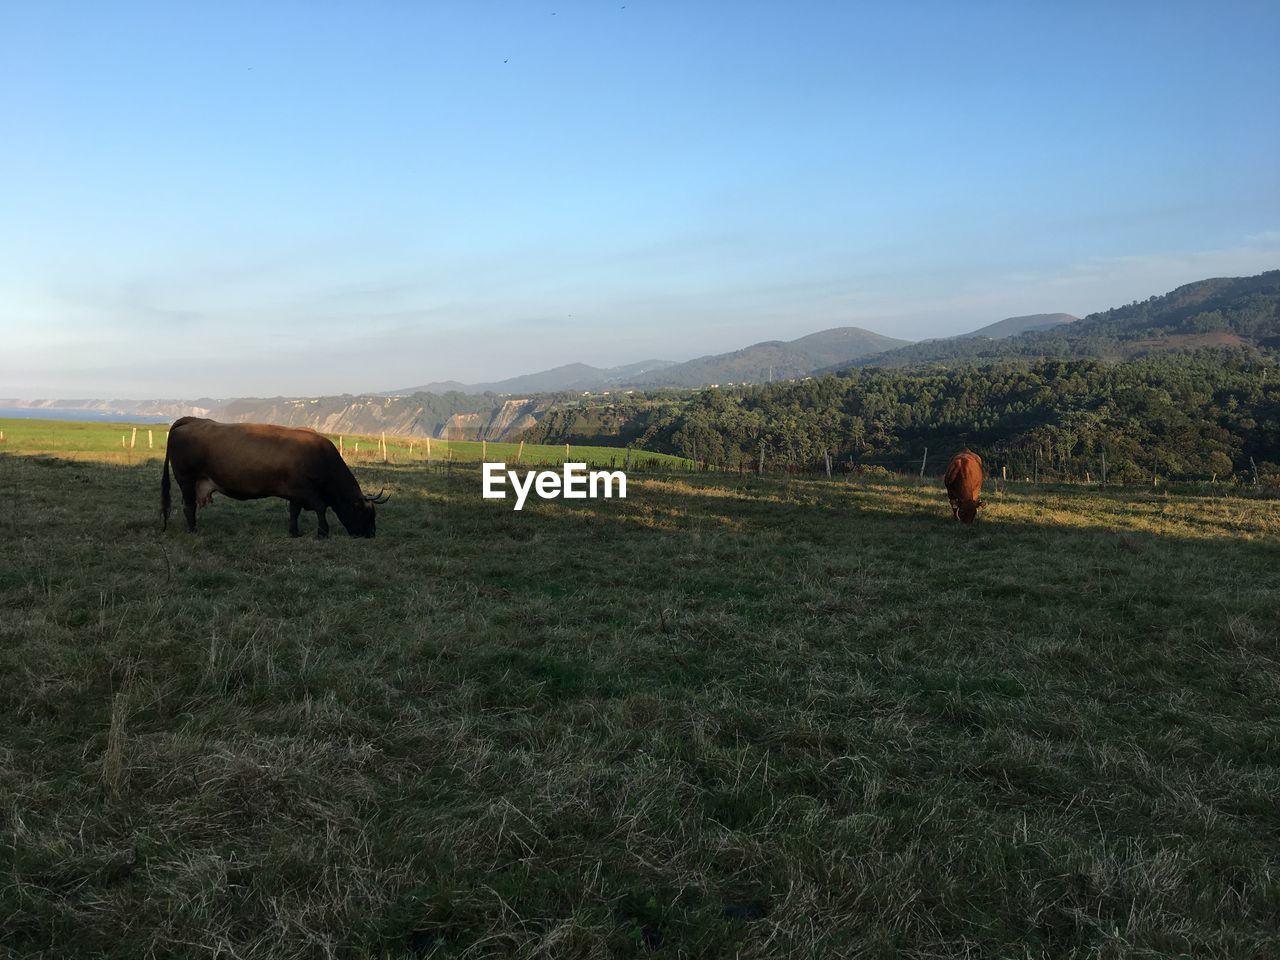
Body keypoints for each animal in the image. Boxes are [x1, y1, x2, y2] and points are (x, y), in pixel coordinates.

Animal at [157, 419, 384, 542]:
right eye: (366, 513)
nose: (372, 534)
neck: (320, 456)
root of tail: (193, 420)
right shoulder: (306, 491)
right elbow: (320, 508)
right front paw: (322, 533)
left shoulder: (295, 493)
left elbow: (294, 512)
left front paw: (294, 532)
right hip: (186, 479)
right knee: (189, 506)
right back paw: (193, 530)